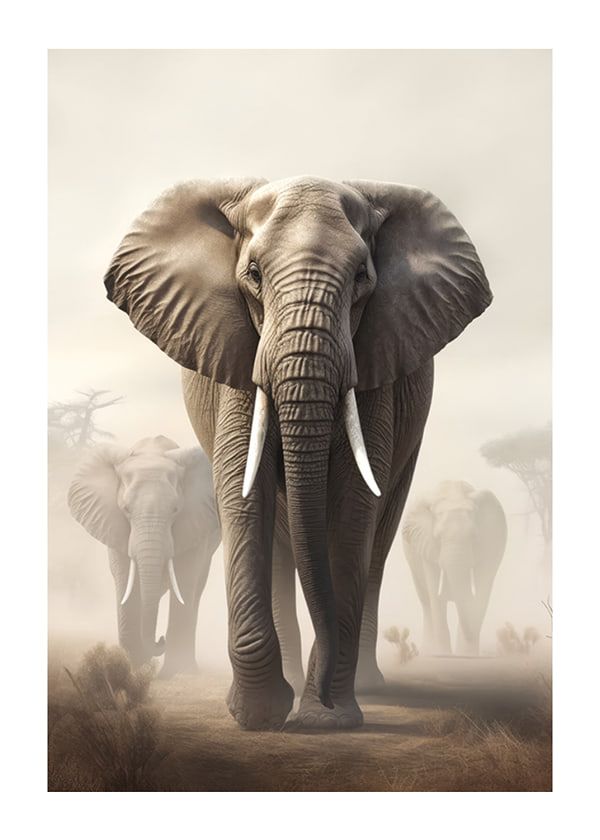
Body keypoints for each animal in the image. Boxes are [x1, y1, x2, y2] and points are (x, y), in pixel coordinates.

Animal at [68, 435, 221, 676]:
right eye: (126, 509)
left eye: (175, 510)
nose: (160, 639)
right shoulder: (114, 524)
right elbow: (125, 581)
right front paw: (130, 669)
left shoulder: (195, 523)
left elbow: (185, 578)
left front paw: (175, 673)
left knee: (196, 587)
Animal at [103, 175, 492, 729]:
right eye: (253, 275)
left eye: (361, 278)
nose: (324, 702)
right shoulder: (238, 353)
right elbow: (243, 493)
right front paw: (260, 716)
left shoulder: (376, 365)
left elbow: (354, 507)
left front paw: (329, 720)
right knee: (282, 544)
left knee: (378, 542)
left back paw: (366, 688)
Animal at [402, 480, 508, 656]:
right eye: (438, 537)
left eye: (474, 536)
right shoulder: (426, 543)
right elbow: (434, 591)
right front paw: (442, 654)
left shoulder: (490, 543)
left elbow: (482, 589)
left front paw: (468, 655)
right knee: (426, 601)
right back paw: (429, 650)